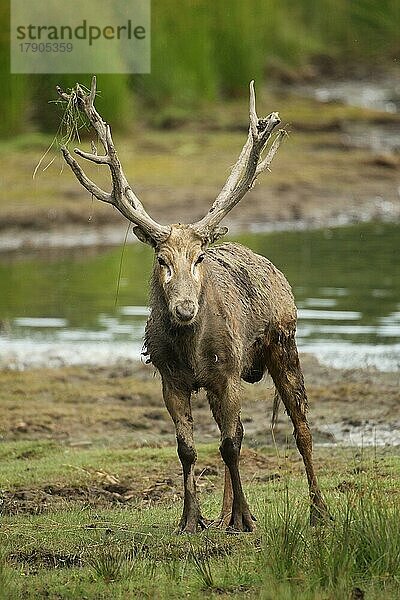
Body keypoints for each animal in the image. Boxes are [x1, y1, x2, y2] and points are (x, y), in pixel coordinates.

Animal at [57, 77, 330, 532]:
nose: (184, 308)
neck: (192, 352)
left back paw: (318, 511)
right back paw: (223, 515)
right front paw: (191, 519)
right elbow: (188, 447)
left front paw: (246, 520)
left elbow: (230, 445)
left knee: (300, 429)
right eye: (161, 259)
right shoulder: (171, 379)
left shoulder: (226, 372)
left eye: (199, 258)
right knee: (239, 430)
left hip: (283, 344)